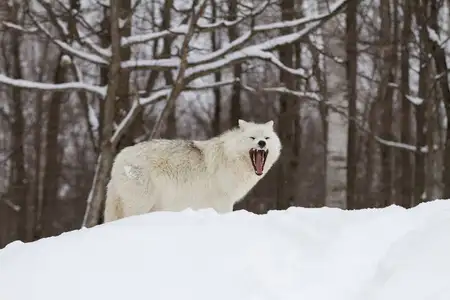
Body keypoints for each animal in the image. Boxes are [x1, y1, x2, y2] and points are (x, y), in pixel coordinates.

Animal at [103, 118, 284, 221]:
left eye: (267, 138)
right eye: (252, 138)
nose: (262, 143)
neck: (231, 158)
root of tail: (119, 158)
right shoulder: (223, 201)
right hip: (141, 204)